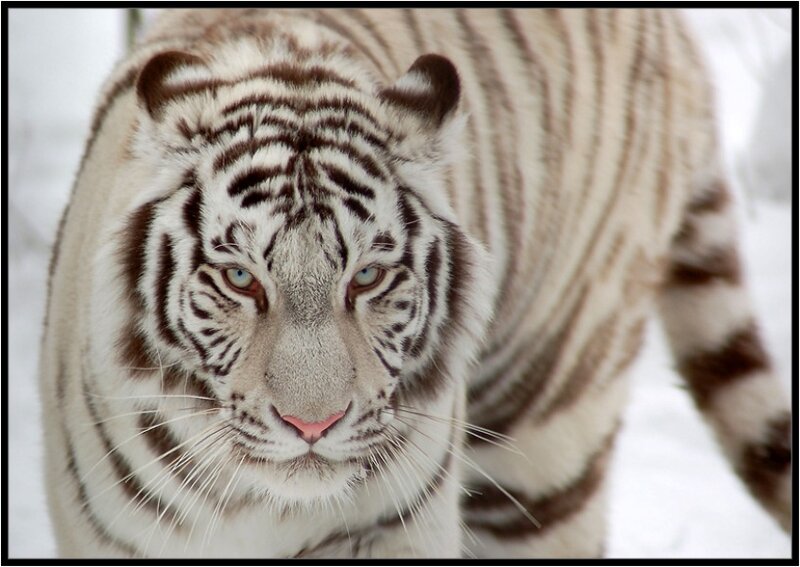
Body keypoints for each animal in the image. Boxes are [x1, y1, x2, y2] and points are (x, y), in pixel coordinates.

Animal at [39, 7, 791, 558]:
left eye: (368, 276)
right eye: (240, 278)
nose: (312, 425)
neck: (258, 503)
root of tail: (676, 33)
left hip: (548, 436)